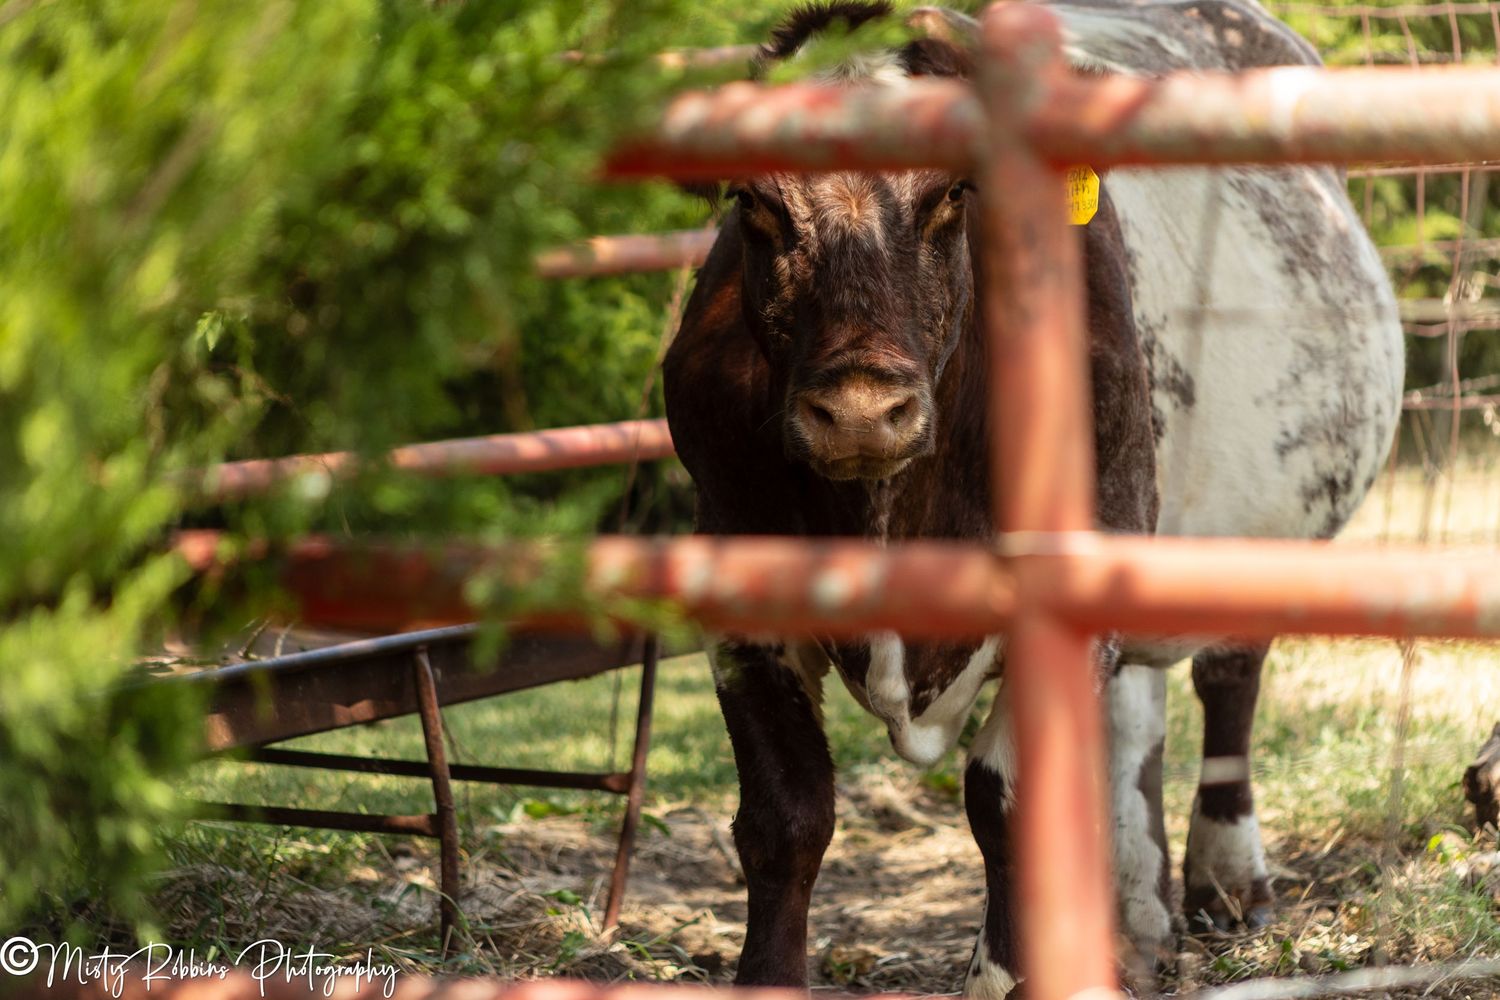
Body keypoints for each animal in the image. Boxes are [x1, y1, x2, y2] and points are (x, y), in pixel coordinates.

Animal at [660, 1, 1404, 994]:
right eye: (754, 202)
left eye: (951, 194)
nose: (860, 410)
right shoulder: (737, 588)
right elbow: (787, 816)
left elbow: (1008, 807)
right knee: (1134, 716)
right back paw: (1134, 923)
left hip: (1260, 523)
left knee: (1228, 676)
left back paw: (1225, 880)